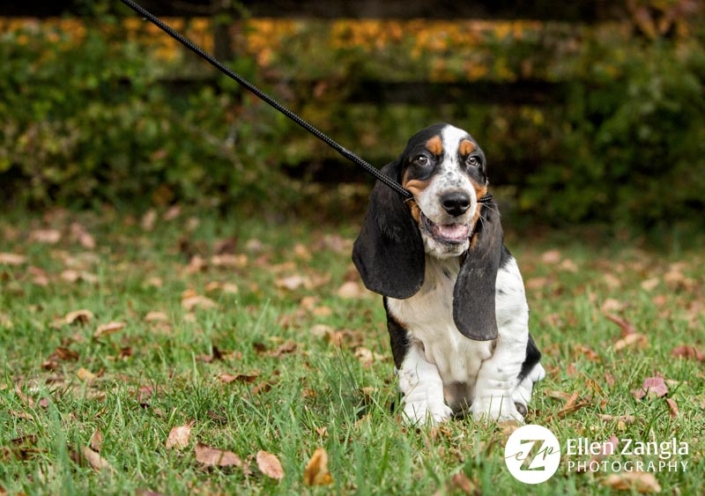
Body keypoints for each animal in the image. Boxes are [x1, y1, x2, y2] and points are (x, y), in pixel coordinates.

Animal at [352, 122, 544, 424]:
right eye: (422, 159)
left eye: (474, 161)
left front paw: (496, 414)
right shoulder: (405, 334)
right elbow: (419, 375)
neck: (446, 266)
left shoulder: (513, 328)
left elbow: (498, 372)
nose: (457, 202)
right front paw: (425, 414)